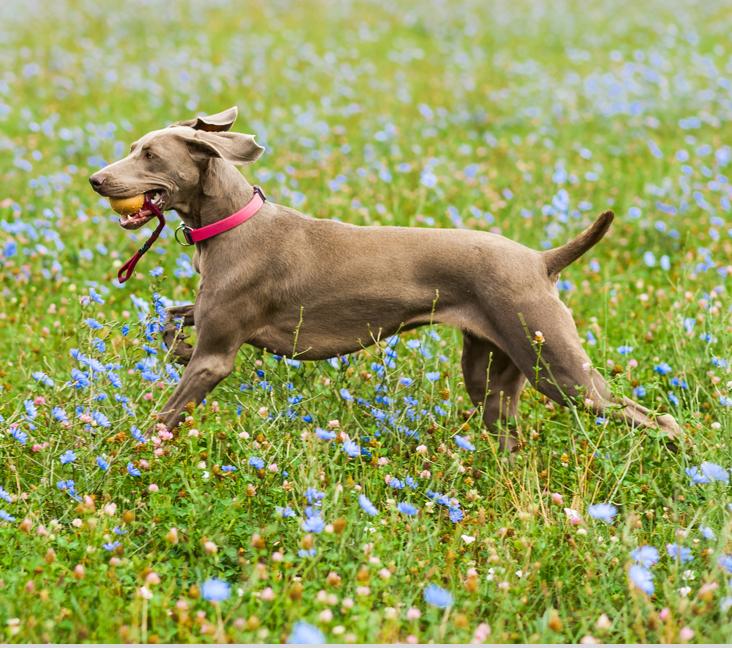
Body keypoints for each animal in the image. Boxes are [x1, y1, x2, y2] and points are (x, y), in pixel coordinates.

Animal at [90, 106, 680, 450]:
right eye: (134, 147)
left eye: (150, 154)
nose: (96, 179)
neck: (233, 222)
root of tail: (541, 260)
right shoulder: (211, 318)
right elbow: (168, 319)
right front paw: (173, 345)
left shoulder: (220, 354)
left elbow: (164, 412)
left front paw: (126, 452)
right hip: (493, 370)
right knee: (508, 433)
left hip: (558, 369)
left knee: (656, 419)